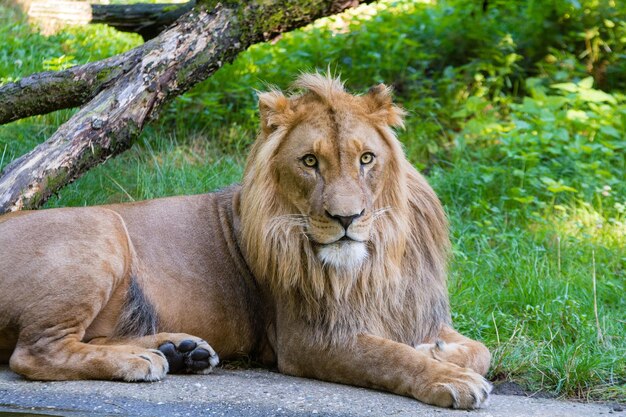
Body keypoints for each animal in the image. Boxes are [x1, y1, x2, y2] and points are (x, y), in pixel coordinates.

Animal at [0, 73, 488, 408]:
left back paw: (180, 350)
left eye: (367, 158)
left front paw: (438, 350)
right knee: (34, 354)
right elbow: (389, 357)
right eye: (309, 162)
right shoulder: (309, 339)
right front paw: (449, 378)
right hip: (102, 227)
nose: (346, 218)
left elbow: (478, 351)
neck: (374, 259)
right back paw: (143, 361)